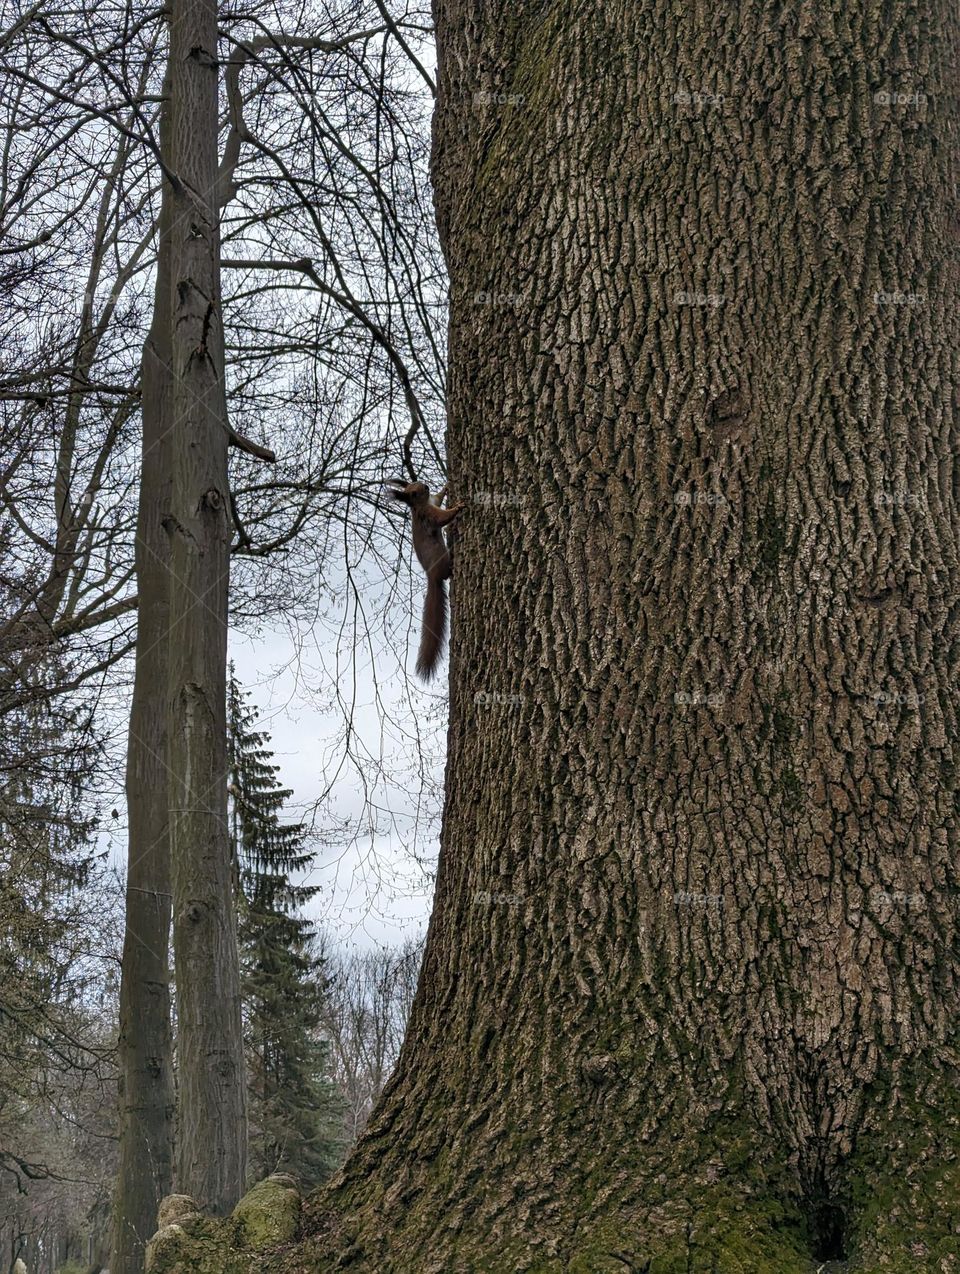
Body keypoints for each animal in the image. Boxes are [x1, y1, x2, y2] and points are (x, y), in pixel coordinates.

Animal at [387, 479, 464, 680]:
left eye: (416, 482)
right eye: (414, 491)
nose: (426, 486)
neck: (419, 506)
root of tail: (432, 576)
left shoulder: (432, 503)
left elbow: (438, 499)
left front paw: (445, 488)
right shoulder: (429, 514)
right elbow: (442, 518)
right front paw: (457, 508)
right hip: (441, 559)